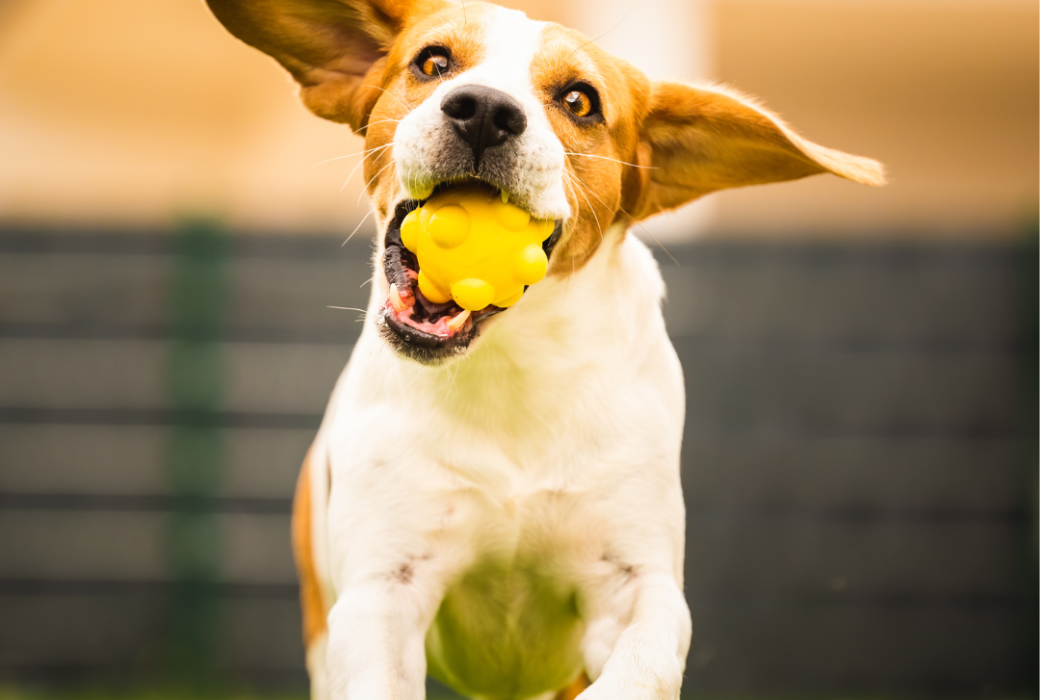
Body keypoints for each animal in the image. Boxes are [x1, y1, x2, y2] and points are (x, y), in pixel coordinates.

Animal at [205, 1, 884, 698]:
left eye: (580, 100)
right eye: (433, 62)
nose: (483, 109)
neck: (512, 367)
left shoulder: (638, 587)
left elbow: (639, 666)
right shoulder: (382, 588)